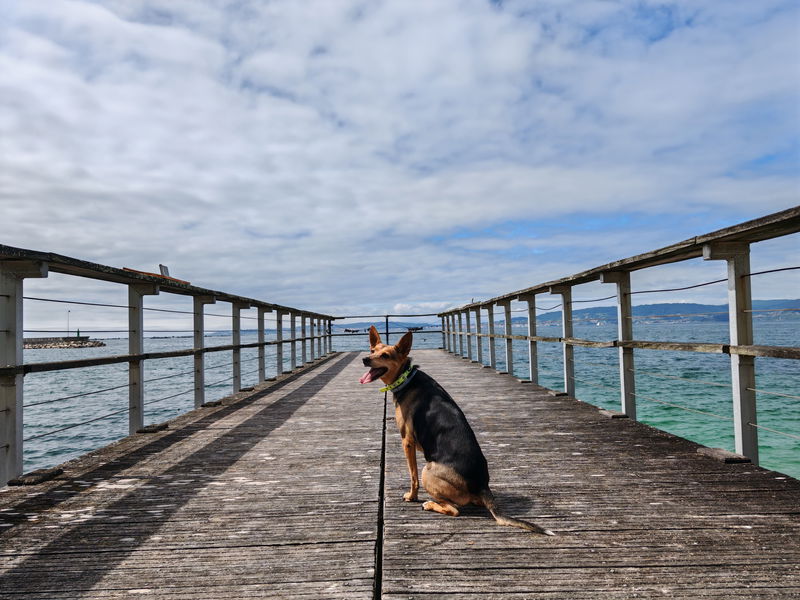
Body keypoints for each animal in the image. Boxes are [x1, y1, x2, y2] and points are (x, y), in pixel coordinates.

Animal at [360, 326, 552, 536]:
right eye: (372, 351)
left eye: (385, 355)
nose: (365, 359)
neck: (406, 378)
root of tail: (482, 486)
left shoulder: (407, 441)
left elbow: (412, 476)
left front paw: (412, 496)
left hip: (428, 470)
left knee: (454, 510)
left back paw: (429, 504)